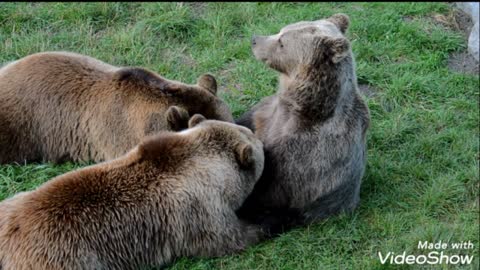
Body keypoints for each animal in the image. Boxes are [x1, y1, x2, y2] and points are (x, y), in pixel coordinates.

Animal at [0, 116, 262, 270]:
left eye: (247, 129)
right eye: (255, 139)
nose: (258, 137)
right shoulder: (199, 210)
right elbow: (229, 238)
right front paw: (265, 223)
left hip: (11, 203)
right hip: (66, 259)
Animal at [236, 14, 372, 226]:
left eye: (282, 42)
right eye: (281, 30)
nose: (255, 39)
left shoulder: (303, 151)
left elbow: (268, 184)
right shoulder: (268, 112)